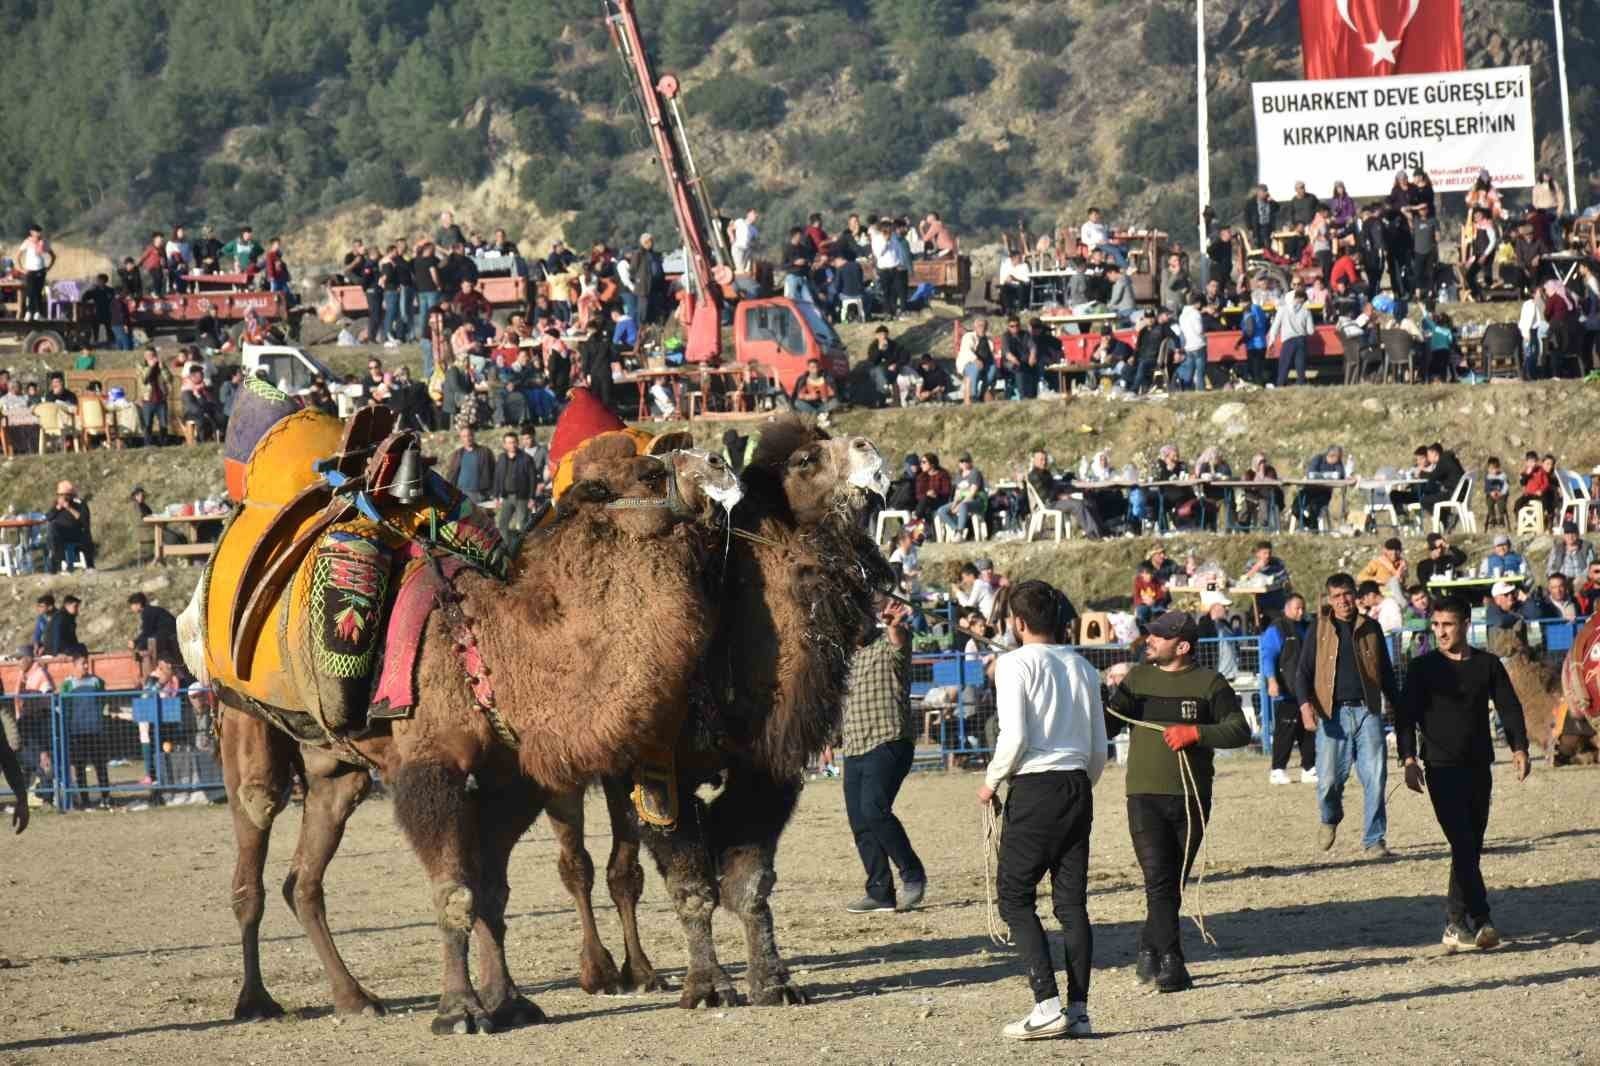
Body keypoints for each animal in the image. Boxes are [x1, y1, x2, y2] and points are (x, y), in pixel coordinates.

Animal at [206, 435, 742, 1024]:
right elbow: (456, 889)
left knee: (303, 878)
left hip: (337, 768)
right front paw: (460, 1009)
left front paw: (508, 1001)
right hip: (244, 718)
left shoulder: (510, 779)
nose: (720, 463)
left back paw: (355, 998)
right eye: (649, 473)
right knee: (253, 840)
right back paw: (256, 1001)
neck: (494, 652)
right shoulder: (432, 770)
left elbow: (492, 890)